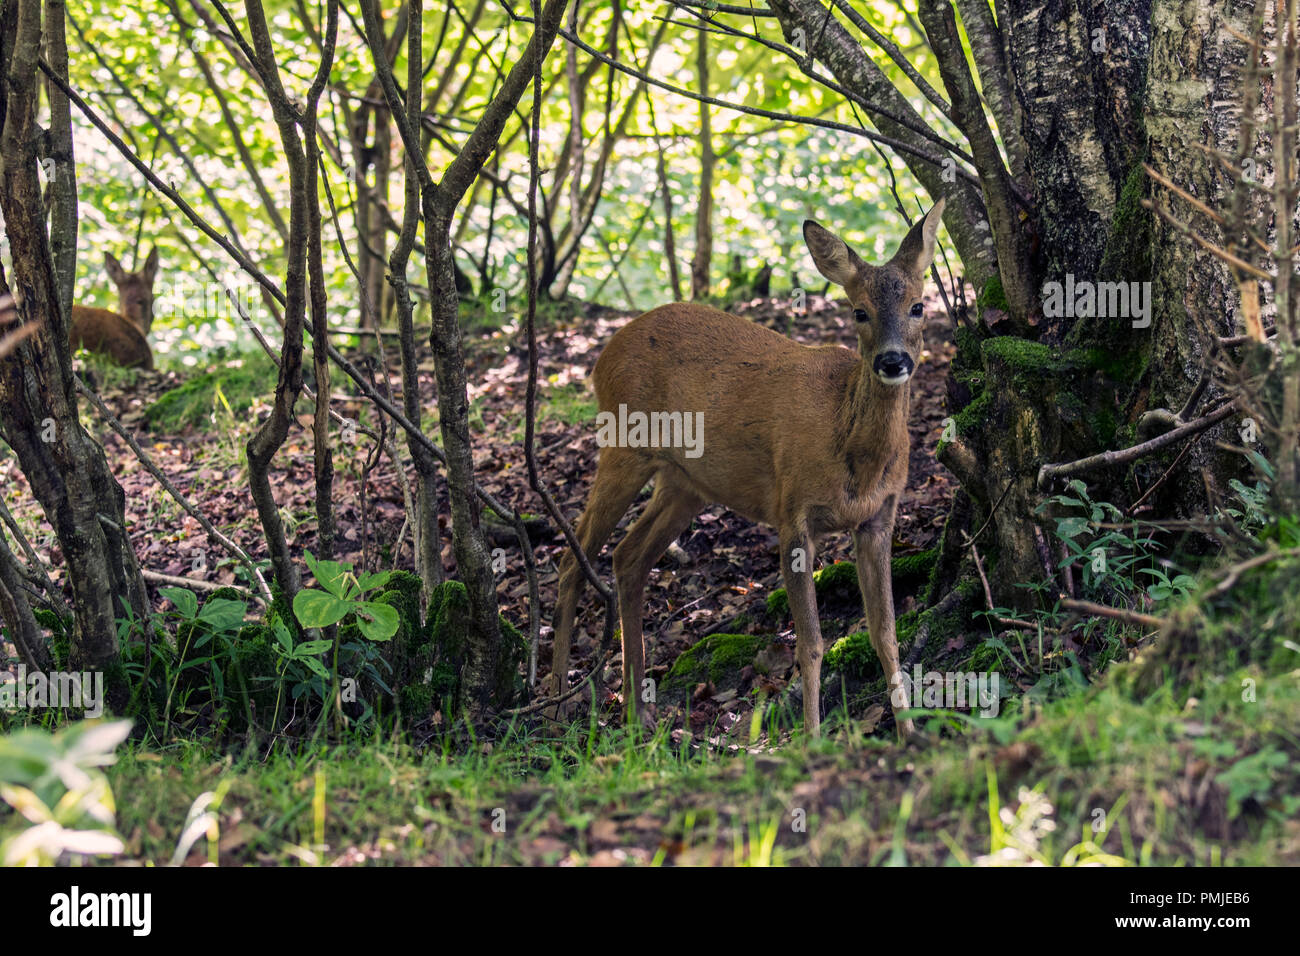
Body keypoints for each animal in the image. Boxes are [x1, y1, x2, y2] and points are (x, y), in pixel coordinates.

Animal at [551, 197, 946, 738]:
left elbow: (884, 631)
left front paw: (909, 734)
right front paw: (812, 738)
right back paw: (552, 700)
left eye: (918, 306)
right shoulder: (791, 510)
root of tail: (601, 356)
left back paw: (637, 710)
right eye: (859, 311)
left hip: (685, 482)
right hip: (622, 446)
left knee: (628, 556)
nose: (892, 361)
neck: (852, 454)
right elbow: (811, 643)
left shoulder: (880, 517)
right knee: (573, 558)